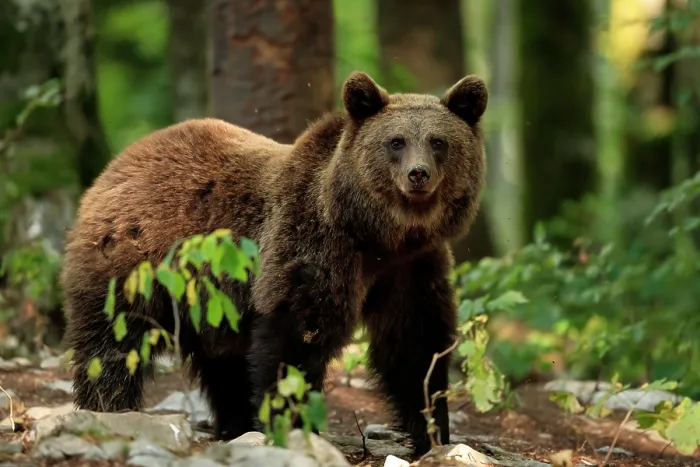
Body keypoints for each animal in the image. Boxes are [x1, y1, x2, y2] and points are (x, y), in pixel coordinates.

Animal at [60, 70, 488, 457]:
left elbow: (414, 345)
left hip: (214, 306)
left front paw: (432, 433)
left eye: (438, 141)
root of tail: (119, 162)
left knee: (225, 365)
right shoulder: (311, 242)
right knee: (113, 342)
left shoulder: (412, 266)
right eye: (395, 142)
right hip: (134, 263)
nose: (418, 174)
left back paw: (235, 423)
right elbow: (296, 335)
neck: (377, 235)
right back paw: (110, 405)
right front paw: (291, 424)